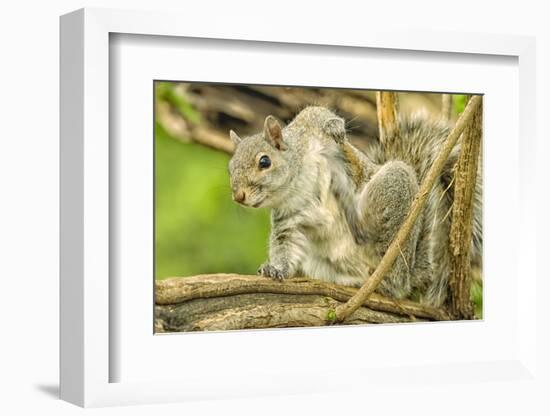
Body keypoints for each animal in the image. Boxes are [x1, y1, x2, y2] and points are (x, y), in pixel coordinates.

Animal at [229, 105, 484, 306]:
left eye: (264, 161)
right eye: (230, 168)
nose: (238, 196)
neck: (296, 182)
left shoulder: (310, 128)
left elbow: (317, 113)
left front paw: (335, 128)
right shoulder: (288, 218)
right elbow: (285, 245)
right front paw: (275, 269)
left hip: (393, 190)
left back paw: (387, 275)